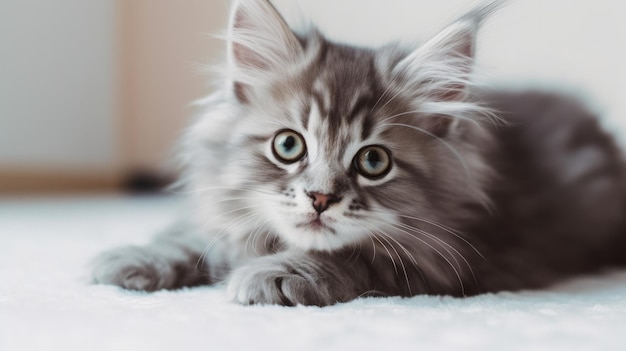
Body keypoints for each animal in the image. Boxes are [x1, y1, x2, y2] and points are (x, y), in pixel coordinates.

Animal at [91, 0, 624, 308]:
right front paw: (135, 259)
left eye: (373, 161)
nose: (320, 199)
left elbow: (352, 257)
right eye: (288, 145)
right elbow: (195, 236)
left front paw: (275, 273)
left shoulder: (445, 262)